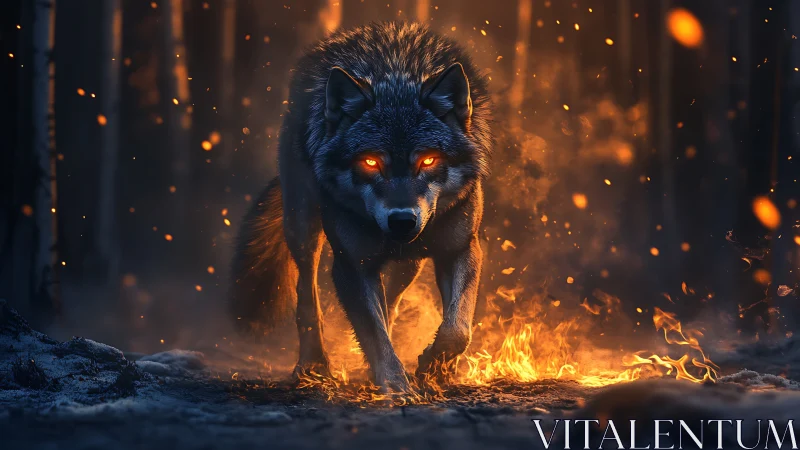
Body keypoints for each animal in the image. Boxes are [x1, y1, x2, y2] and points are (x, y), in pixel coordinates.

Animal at [229, 22, 492, 391]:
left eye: (428, 160)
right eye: (370, 161)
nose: (401, 221)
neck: (396, 77)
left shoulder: (461, 250)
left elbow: (458, 329)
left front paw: (434, 368)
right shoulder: (352, 264)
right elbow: (373, 332)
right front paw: (395, 386)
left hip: (408, 265)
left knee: (391, 303)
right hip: (303, 230)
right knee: (307, 295)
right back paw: (313, 365)